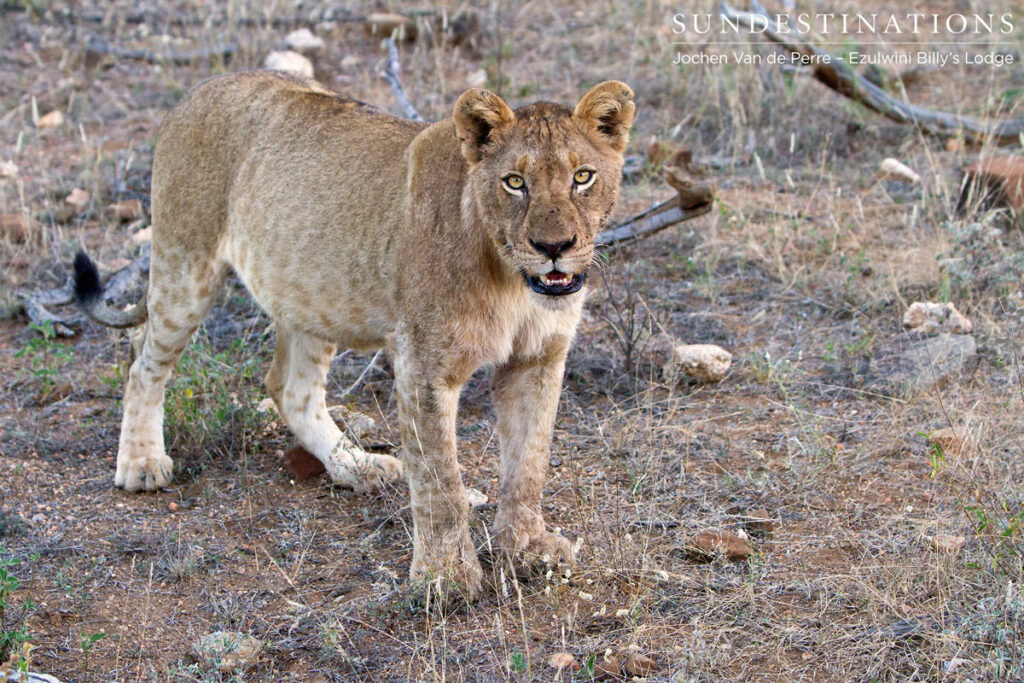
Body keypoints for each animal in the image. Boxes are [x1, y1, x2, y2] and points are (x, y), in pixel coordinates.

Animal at [73, 70, 634, 598]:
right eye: (514, 182)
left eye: (583, 177)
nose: (555, 247)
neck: (513, 281)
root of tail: (198, 89)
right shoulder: (424, 368)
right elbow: (440, 482)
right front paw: (445, 579)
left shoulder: (538, 359)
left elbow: (529, 463)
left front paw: (528, 549)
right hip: (184, 266)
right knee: (142, 361)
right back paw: (142, 462)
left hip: (312, 294)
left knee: (289, 388)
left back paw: (355, 466)